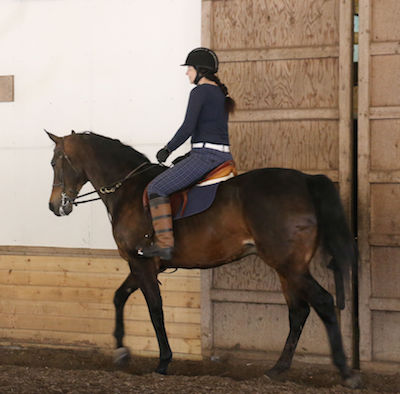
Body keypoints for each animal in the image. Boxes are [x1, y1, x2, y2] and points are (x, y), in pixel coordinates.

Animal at [45, 132, 360, 388]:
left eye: (54, 163)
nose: (54, 205)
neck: (128, 190)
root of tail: (305, 180)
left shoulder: (141, 264)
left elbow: (155, 309)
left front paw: (163, 362)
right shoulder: (142, 264)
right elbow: (119, 297)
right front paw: (121, 351)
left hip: (289, 266)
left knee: (322, 302)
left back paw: (346, 372)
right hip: (287, 268)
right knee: (298, 311)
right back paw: (277, 369)